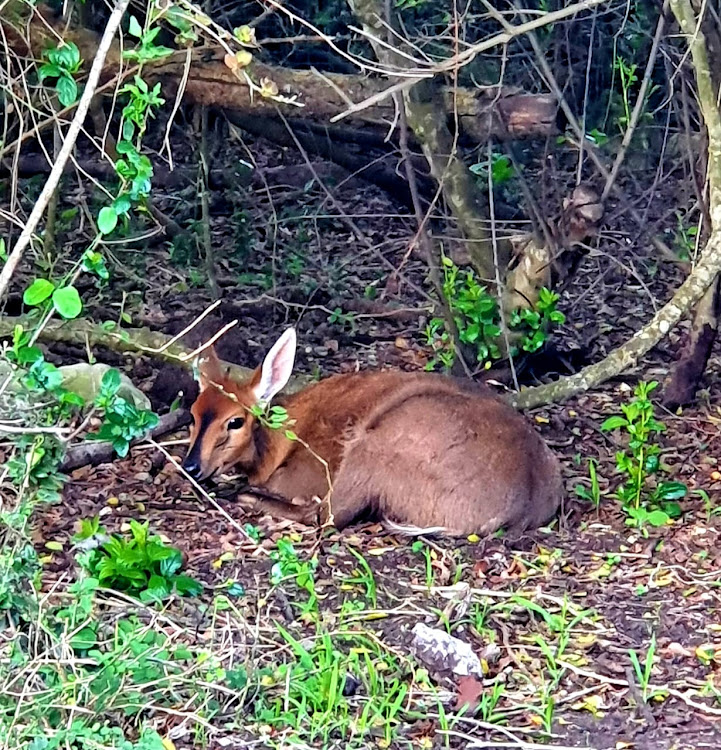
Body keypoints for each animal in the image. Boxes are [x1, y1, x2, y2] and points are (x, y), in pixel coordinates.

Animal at [181, 328, 564, 536]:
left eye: (236, 421)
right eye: (193, 414)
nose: (190, 466)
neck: (276, 446)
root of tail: (523, 507)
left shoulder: (307, 475)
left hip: (375, 445)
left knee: (327, 515)